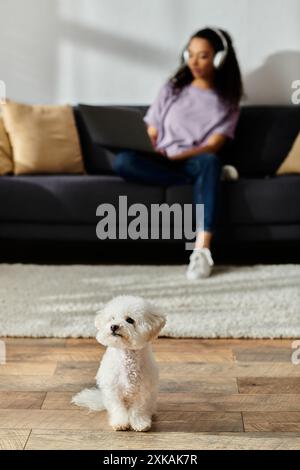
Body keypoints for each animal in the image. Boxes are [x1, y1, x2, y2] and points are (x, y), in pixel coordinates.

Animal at [72, 296, 166, 432]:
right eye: (112, 318)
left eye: (130, 320)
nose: (114, 326)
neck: (127, 354)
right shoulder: (113, 389)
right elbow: (118, 408)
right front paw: (120, 423)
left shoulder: (142, 390)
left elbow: (138, 409)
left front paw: (140, 423)